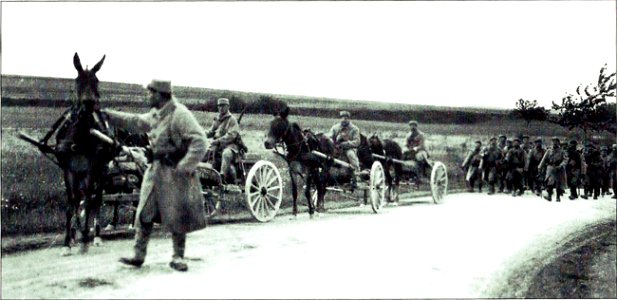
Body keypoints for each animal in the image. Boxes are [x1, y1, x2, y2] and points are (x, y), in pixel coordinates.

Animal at [41, 52, 115, 254]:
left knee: (96, 199)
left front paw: (85, 238)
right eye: (77, 81)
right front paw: (68, 242)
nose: (89, 104)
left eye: (96, 81)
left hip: (101, 171)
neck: (80, 138)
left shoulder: (91, 169)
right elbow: (71, 202)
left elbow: (89, 202)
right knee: (81, 199)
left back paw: (95, 235)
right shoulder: (69, 170)